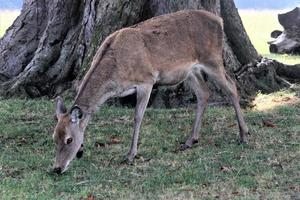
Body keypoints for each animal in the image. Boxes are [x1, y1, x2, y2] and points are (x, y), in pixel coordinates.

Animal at [52, 10, 248, 174]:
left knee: (232, 87)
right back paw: (190, 140)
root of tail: (219, 20)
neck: (116, 75)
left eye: (69, 139)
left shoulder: (146, 81)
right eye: (54, 137)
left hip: (212, 59)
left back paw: (244, 135)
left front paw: (130, 155)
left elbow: (138, 117)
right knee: (204, 93)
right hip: (190, 71)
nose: (57, 168)